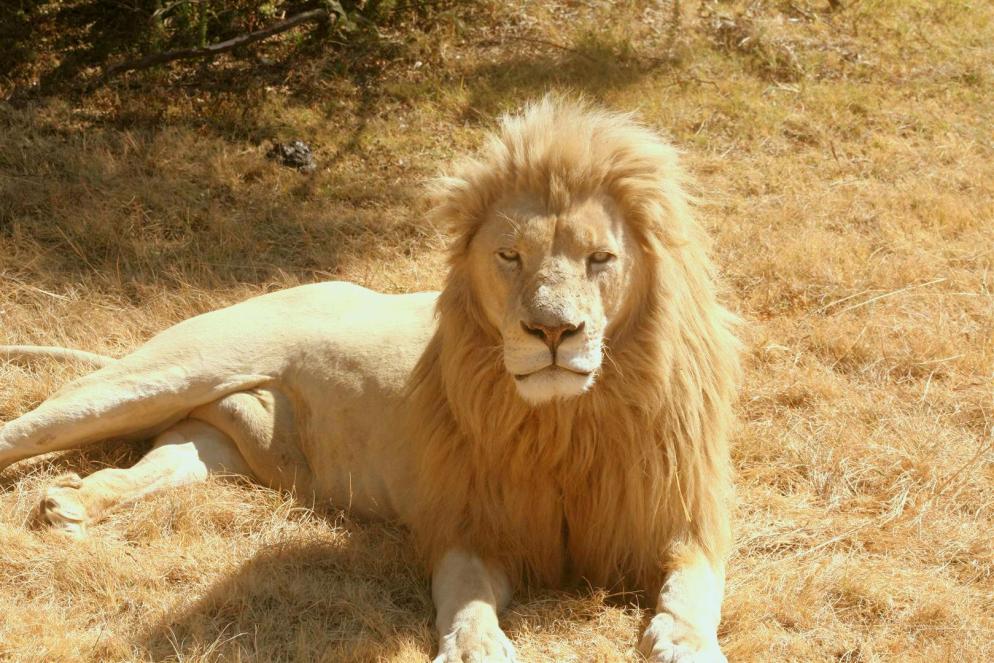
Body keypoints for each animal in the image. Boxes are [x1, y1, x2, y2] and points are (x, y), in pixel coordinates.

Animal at [0, 97, 740, 662]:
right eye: (510, 256)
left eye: (600, 259)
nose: (552, 331)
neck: (567, 421)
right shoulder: (469, 522)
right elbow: (465, 593)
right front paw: (475, 646)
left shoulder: (680, 520)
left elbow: (693, 589)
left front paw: (686, 644)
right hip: (156, 377)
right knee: (25, 429)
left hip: (210, 443)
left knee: (155, 464)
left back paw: (71, 503)